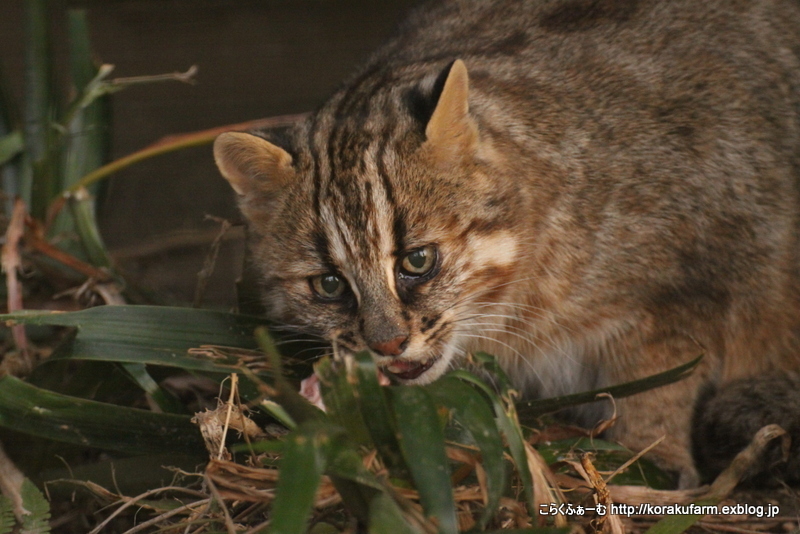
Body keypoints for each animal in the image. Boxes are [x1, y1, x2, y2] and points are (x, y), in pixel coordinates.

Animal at [211, 0, 800, 488]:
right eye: (330, 285)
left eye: (417, 260)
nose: (388, 345)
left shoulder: (691, 288)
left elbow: (659, 393)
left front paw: (650, 465)